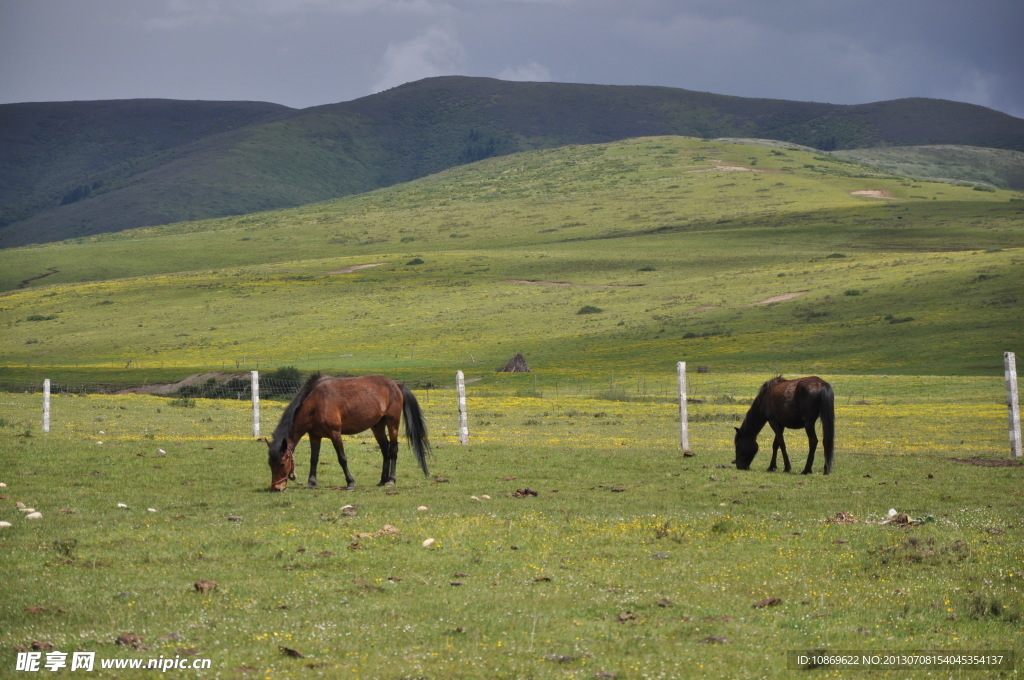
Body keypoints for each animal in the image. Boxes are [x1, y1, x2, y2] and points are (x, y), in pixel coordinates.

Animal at [266, 374, 430, 491]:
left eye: (282, 463)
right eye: (269, 464)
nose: (276, 488)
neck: (316, 402)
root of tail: (396, 385)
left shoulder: (335, 433)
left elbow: (342, 458)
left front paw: (350, 483)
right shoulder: (315, 436)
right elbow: (314, 459)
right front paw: (311, 483)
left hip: (392, 423)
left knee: (393, 450)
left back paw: (391, 480)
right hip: (377, 426)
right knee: (385, 450)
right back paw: (382, 480)